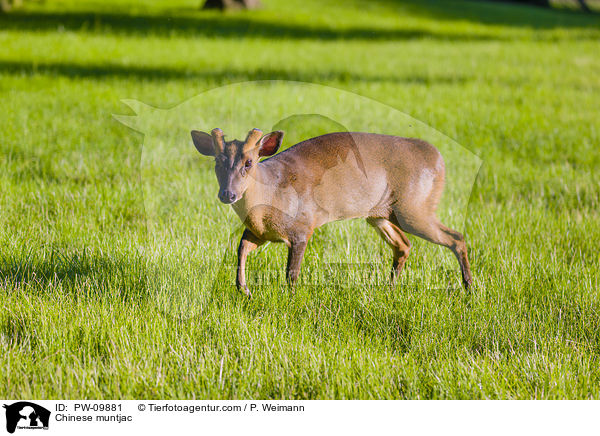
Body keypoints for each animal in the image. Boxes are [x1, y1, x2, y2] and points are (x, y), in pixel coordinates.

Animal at [192, 127, 474, 296]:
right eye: (218, 162)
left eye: (249, 162)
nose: (227, 194)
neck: (269, 197)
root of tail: (438, 158)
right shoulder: (258, 232)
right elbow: (240, 250)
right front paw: (244, 290)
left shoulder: (303, 226)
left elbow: (291, 273)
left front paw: (290, 299)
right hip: (380, 214)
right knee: (403, 245)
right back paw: (390, 288)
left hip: (414, 207)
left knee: (456, 237)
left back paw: (470, 288)